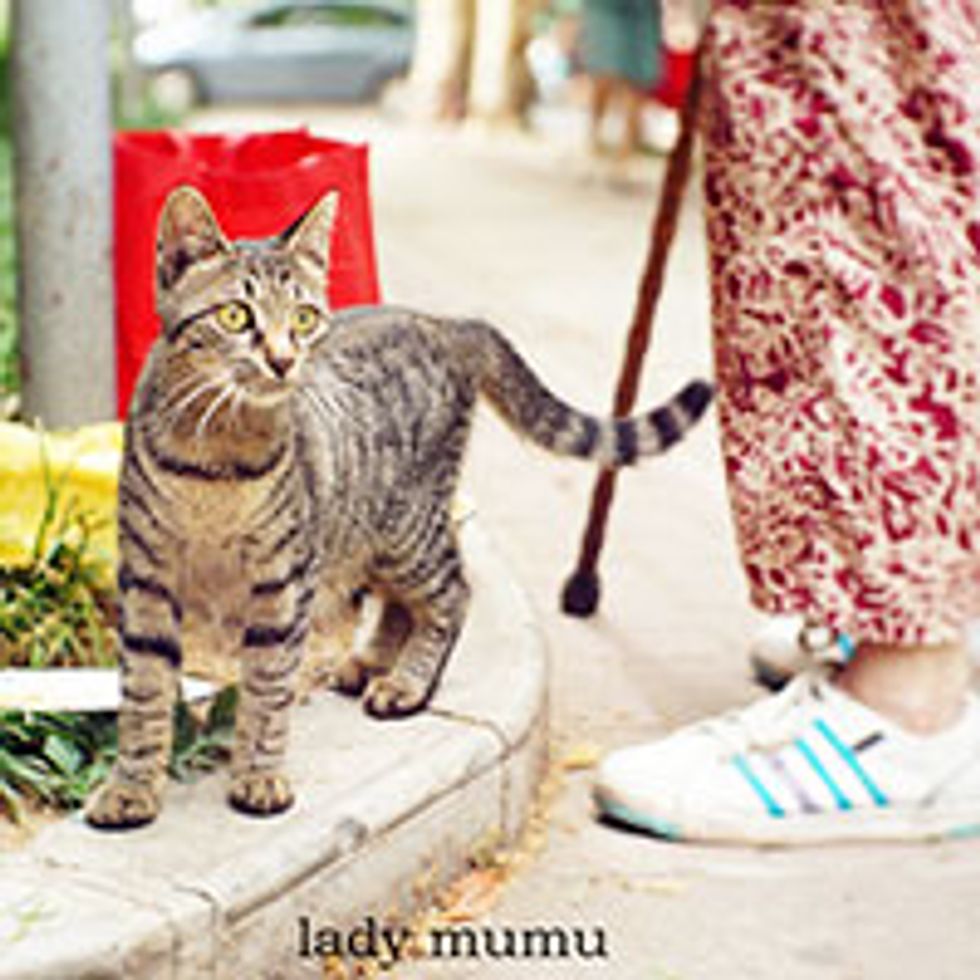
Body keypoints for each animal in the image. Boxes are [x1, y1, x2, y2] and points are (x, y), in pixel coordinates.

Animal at [84, 186, 712, 828]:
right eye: (236, 316)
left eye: (304, 318)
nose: (284, 360)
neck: (216, 462)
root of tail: (445, 323)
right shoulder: (145, 581)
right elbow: (144, 691)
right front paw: (132, 785)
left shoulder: (284, 586)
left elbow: (267, 690)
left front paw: (258, 773)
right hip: (370, 534)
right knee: (399, 603)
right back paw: (371, 663)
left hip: (407, 528)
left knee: (451, 593)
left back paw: (407, 682)